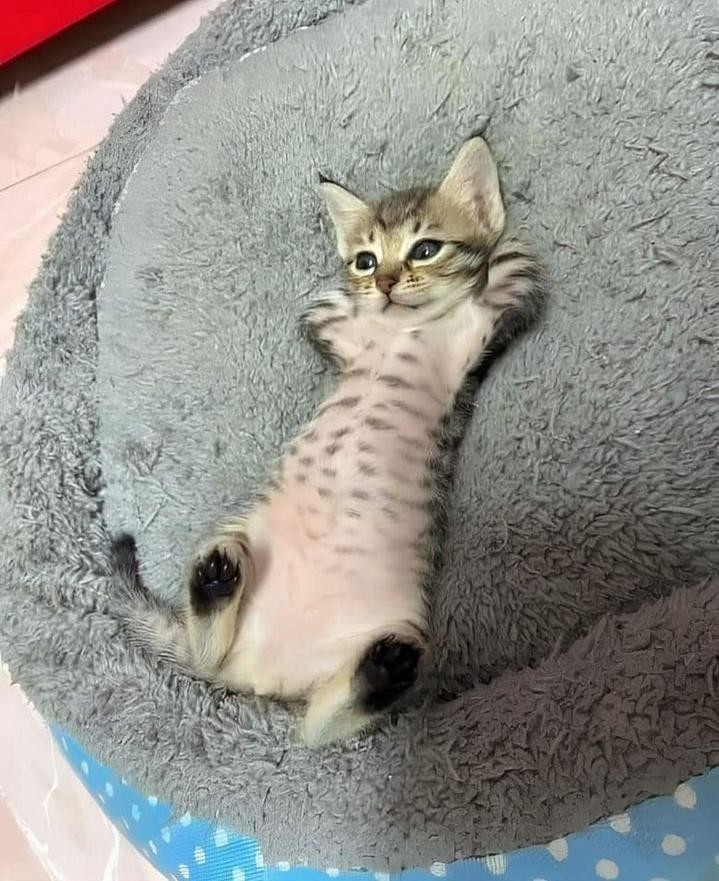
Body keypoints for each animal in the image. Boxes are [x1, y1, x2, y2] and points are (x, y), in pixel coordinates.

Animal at [124, 136, 540, 744]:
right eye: (365, 259)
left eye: (425, 249)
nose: (385, 282)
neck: (403, 330)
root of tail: (267, 678)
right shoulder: (341, 338)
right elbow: (321, 315)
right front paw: (344, 295)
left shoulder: (473, 347)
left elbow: (511, 282)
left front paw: (499, 259)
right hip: (242, 533)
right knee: (212, 661)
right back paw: (215, 581)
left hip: (400, 624)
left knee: (317, 727)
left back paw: (381, 672)